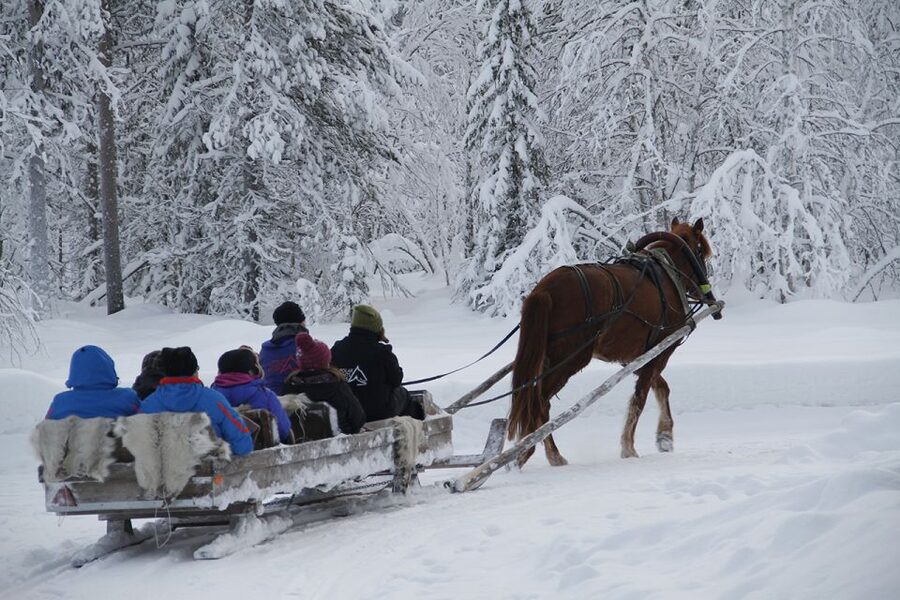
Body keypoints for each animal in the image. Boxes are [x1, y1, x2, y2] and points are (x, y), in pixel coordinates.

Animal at [507, 217, 719, 467]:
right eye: (700, 251)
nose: (705, 291)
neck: (667, 274)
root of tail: (544, 290)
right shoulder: (660, 350)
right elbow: (640, 398)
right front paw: (629, 448)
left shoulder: (637, 357)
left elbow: (661, 388)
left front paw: (665, 436)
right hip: (569, 360)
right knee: (539, 404)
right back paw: (547, 454)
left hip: (546, 357)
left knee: (531, 400)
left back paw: (527, 451)